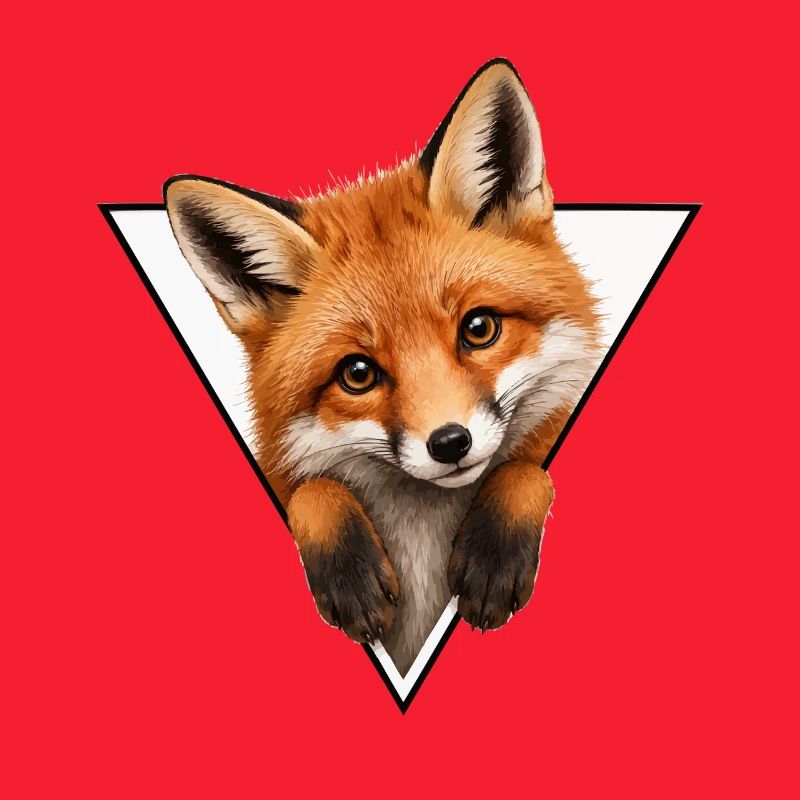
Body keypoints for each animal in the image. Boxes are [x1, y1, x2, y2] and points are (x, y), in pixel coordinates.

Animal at [164, 58, 602, 675]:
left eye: (479, 328)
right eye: (358, 373)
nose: (450, 443)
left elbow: (527, 470)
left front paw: (494, 550)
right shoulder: (283, 472)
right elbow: (311, 491)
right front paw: (349, 571)